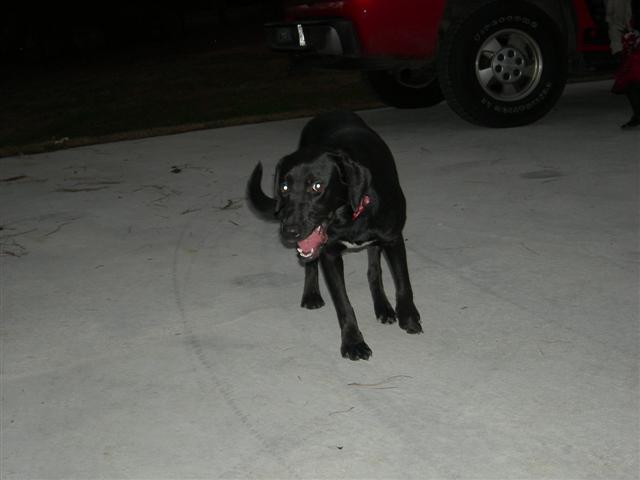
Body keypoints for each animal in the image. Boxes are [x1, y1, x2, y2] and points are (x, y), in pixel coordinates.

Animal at [247, 111, 421, 360]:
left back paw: (383, 306)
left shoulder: (393, 239)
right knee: (310, 264)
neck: (349, 216)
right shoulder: (329, 255)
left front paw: (409, 317)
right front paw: (353, 342)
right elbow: (343, 304)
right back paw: (311, 294)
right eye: (284, 187)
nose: (288, 231)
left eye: (317, 186)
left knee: (374, 270)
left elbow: (403, 282)